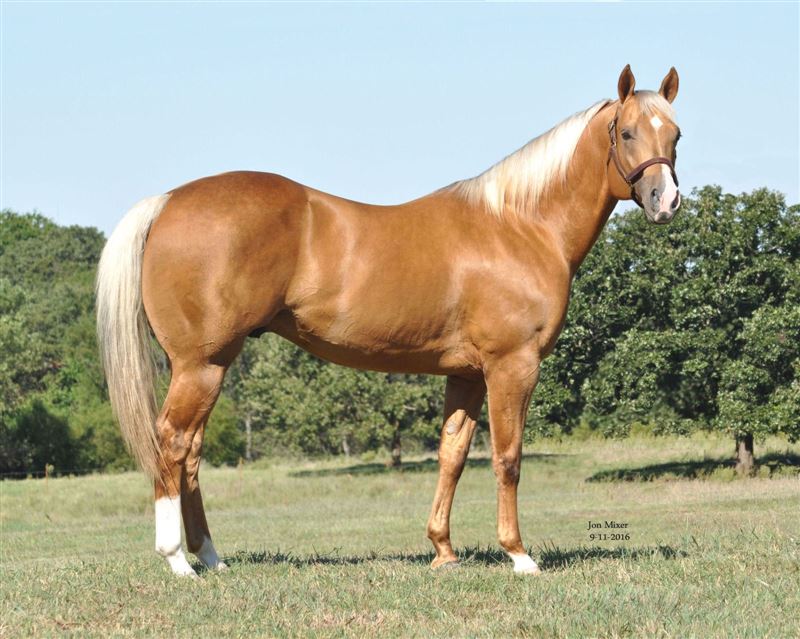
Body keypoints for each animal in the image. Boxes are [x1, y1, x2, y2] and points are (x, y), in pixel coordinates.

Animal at [96, 65, 681, 577]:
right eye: (626, 132)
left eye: (675, 133)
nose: (666, 201)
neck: (521, 226)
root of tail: (167, 201)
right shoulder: (511, 367)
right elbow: (507, 458)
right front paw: (519, 555)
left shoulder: (465, 374)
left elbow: (452, 454)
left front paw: (443, 551)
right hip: (202, 364)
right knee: (172, 443)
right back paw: (177, 560)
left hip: (208, 367)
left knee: (190, 454)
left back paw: (212, 557)